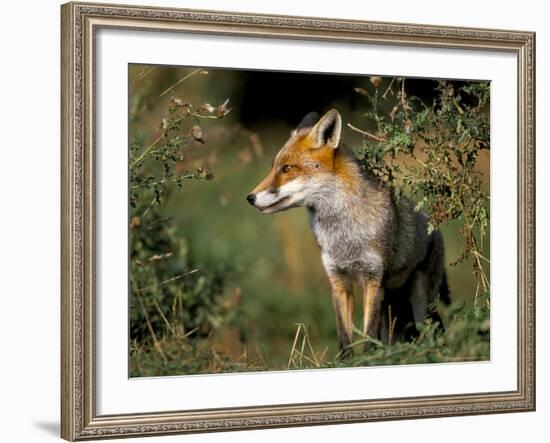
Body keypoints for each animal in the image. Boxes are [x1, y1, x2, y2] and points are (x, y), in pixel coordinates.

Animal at [248, 110, 450, 358]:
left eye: (286, 169)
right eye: (274, 167)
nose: (250, 197)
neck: (344, 237)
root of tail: (434, 226)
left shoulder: (373, 280)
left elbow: (369, 335)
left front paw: (370, 360)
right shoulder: (338, 280)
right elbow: (344, 336)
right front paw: (346, 362)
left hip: (422, 303)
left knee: (433, 331)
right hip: (393, 303)